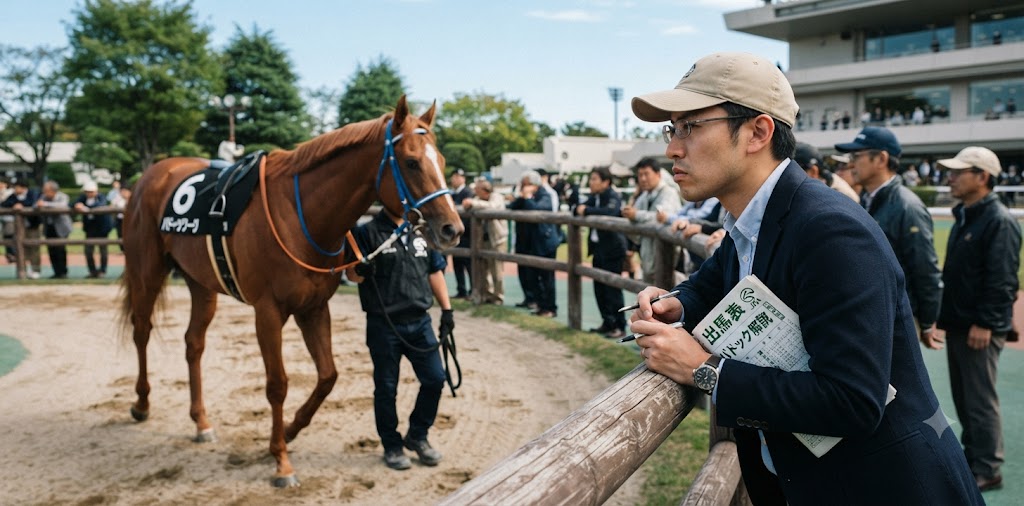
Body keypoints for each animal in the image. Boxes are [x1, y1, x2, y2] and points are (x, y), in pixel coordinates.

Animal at [119, 95, 462, 487]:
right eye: (411, 162)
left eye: (443, 161)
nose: (453, 228)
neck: (301, 217)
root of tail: (151, 176)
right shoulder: (267, 312)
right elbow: (277, 384)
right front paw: (280, 461)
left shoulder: (314, 307)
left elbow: (328, 376)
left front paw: (290, 429)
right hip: (146, 270)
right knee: (142, 330)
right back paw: (141, 404)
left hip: (200, 282)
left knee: (193, 343)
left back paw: (201, 422)